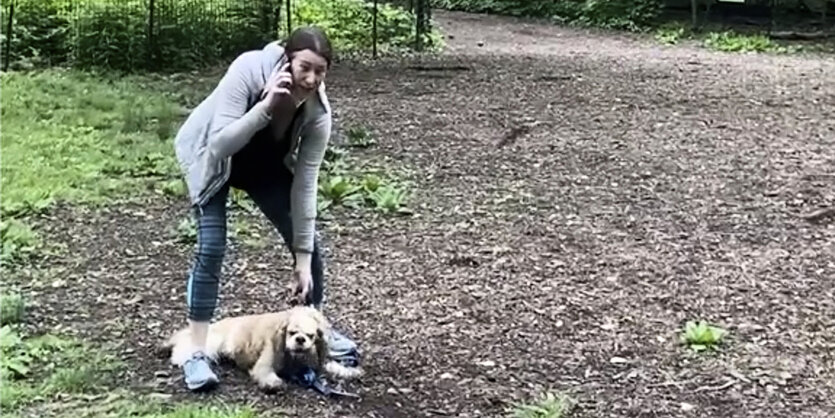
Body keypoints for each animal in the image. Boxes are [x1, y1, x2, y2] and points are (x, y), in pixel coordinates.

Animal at [162, 306, 360, 390]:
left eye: (310, 336)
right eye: (292, 332)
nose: (300, 339)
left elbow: (331, 366)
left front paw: (349, 371)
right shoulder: (265, 364)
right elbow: (266, 374)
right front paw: (274, 383)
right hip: (212, 343)